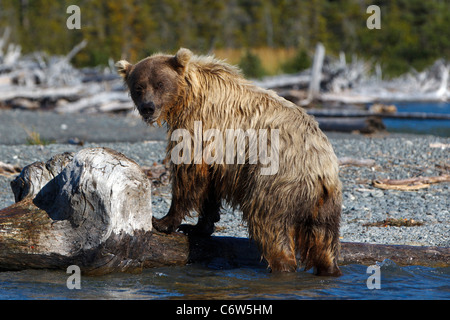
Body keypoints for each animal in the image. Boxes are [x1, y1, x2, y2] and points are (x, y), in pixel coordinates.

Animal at [115, 48, 342, 276]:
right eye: (138, 87)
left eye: (160, 84)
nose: (148, 107)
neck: (187, 97)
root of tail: (321, 172)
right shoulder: (217, 153)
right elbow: (209, 184)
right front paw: (198, 227)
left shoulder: (200, 125)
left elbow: (188, 172)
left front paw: (164, 221)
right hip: (326, 206)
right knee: (323, 241)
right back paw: (329, 268)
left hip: (276, 182)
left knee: (269, 225)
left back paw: (282, 265)